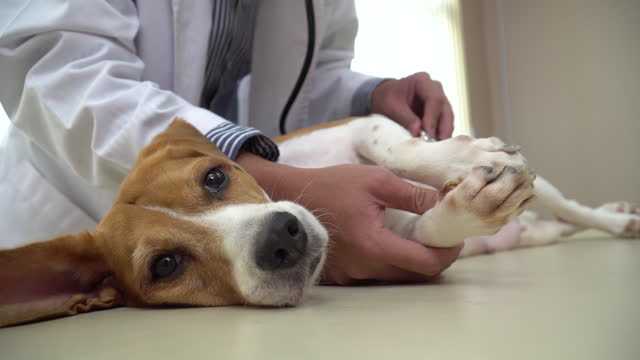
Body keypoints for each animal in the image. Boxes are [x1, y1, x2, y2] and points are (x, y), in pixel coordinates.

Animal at [1, 115, 640, 326]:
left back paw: (613, 220)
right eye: (165, 266)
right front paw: (465, 206)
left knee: (569, 207)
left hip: (547, 191)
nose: (280, 239)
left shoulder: (362, 126)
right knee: (550, 227)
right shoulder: (412, 245)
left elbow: (400, 148)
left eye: (214, 178)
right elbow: (434, 227)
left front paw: (458, 162)